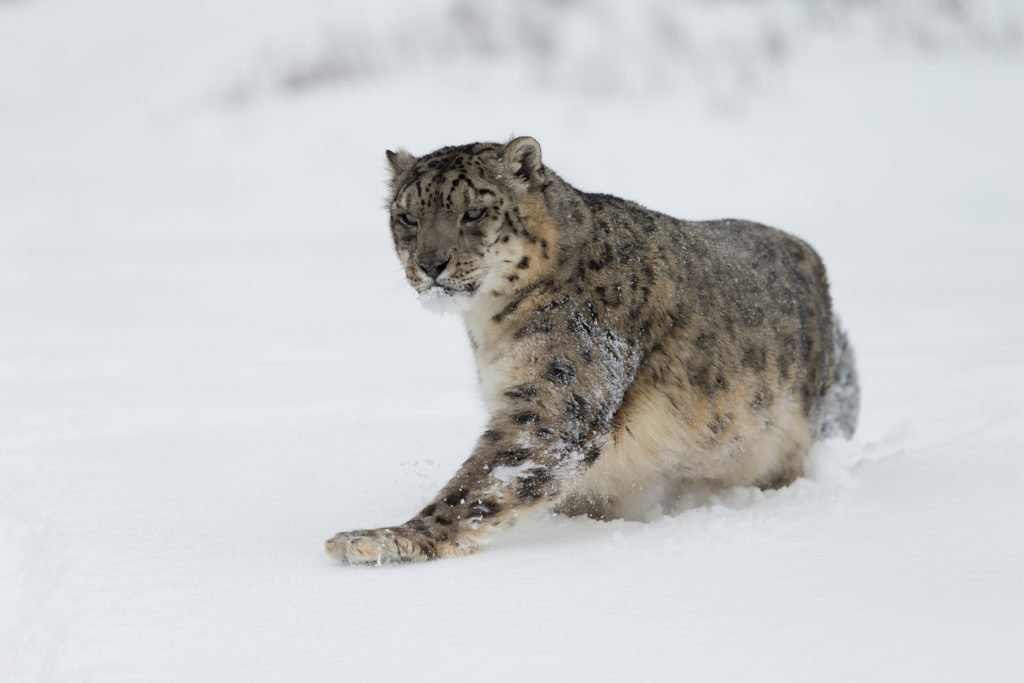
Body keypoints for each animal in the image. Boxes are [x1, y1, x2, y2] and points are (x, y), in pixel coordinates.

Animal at [325, 136, 856, 565]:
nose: (430, 263)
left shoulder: (556, 400)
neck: (490, 327)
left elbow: (482, 484)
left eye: (473, 212)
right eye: (408, 216)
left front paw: (384, 539)